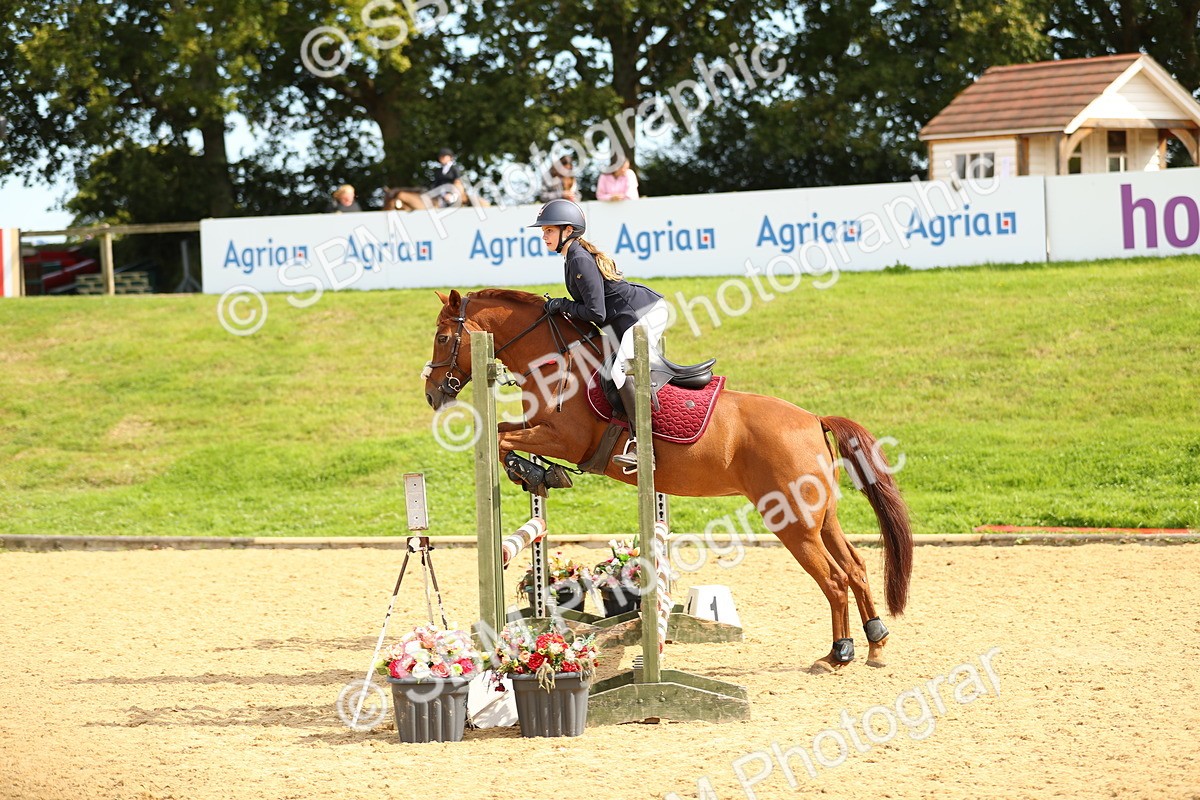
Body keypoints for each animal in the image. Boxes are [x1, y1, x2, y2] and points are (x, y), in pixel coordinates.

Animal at [422, 288, 913, 672]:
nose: (432, 394)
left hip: (792, 521)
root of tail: (813, 419)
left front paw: (531, 470)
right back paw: (876, 641)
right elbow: (504, 433)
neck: (557, 363)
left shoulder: (566, 436)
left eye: (444, 337)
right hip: (820, 517)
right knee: (855, 567)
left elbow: (501, 439)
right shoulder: (542, 428)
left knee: (833, 578)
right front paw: (538, 473)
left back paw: (838, 654)